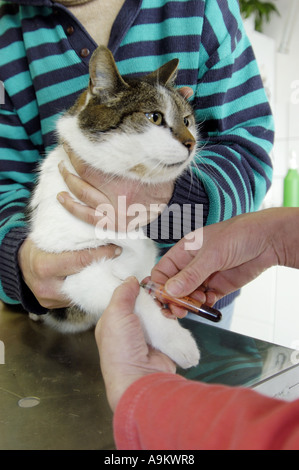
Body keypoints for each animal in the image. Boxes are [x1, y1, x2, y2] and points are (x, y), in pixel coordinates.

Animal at [28, 46, 202, 370]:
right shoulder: (78, 271)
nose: (191, 143)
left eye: (187, 120)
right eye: (154, 117)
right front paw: (177, 340)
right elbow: (137, 299)